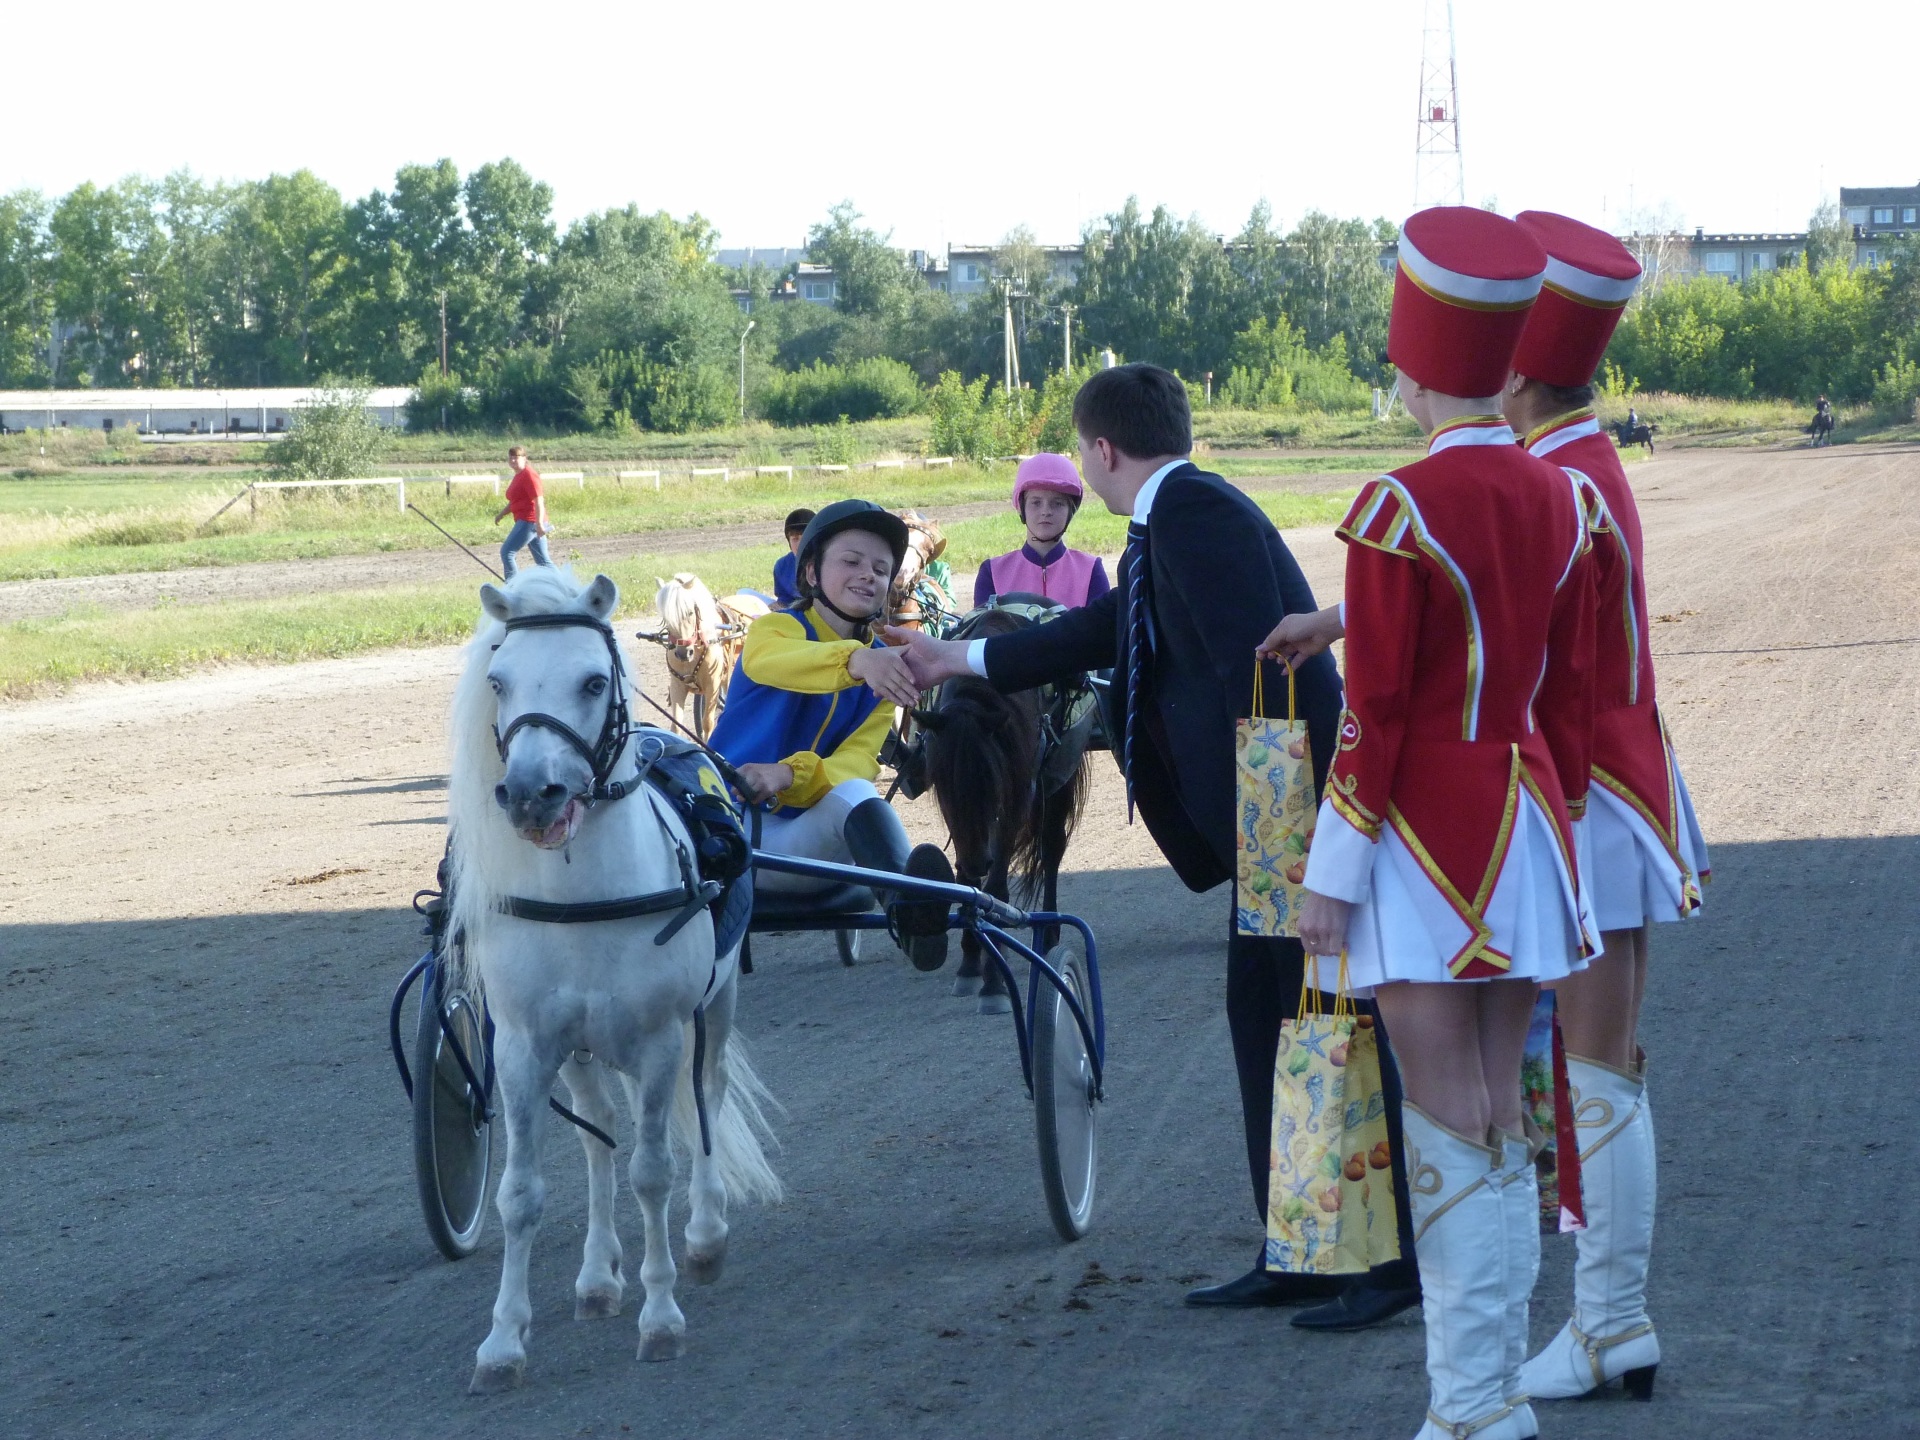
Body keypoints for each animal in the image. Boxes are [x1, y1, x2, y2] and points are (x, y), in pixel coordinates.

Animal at [652, 574, 770, 740]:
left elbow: (707, 723)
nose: (683, 653)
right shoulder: (677, 685)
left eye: (689, 612)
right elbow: (676, 725)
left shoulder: (712, 686)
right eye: (666, 617)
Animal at [906, 598, 1096, 1013]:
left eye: (990, 781)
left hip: (1056, 784)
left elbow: (996, 886)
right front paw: (969, 962)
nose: (979, 859)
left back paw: (1051, 931)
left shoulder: (1016, 799)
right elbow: (967, 883)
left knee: (1051, 849)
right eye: (943, 785)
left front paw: (994, 982)